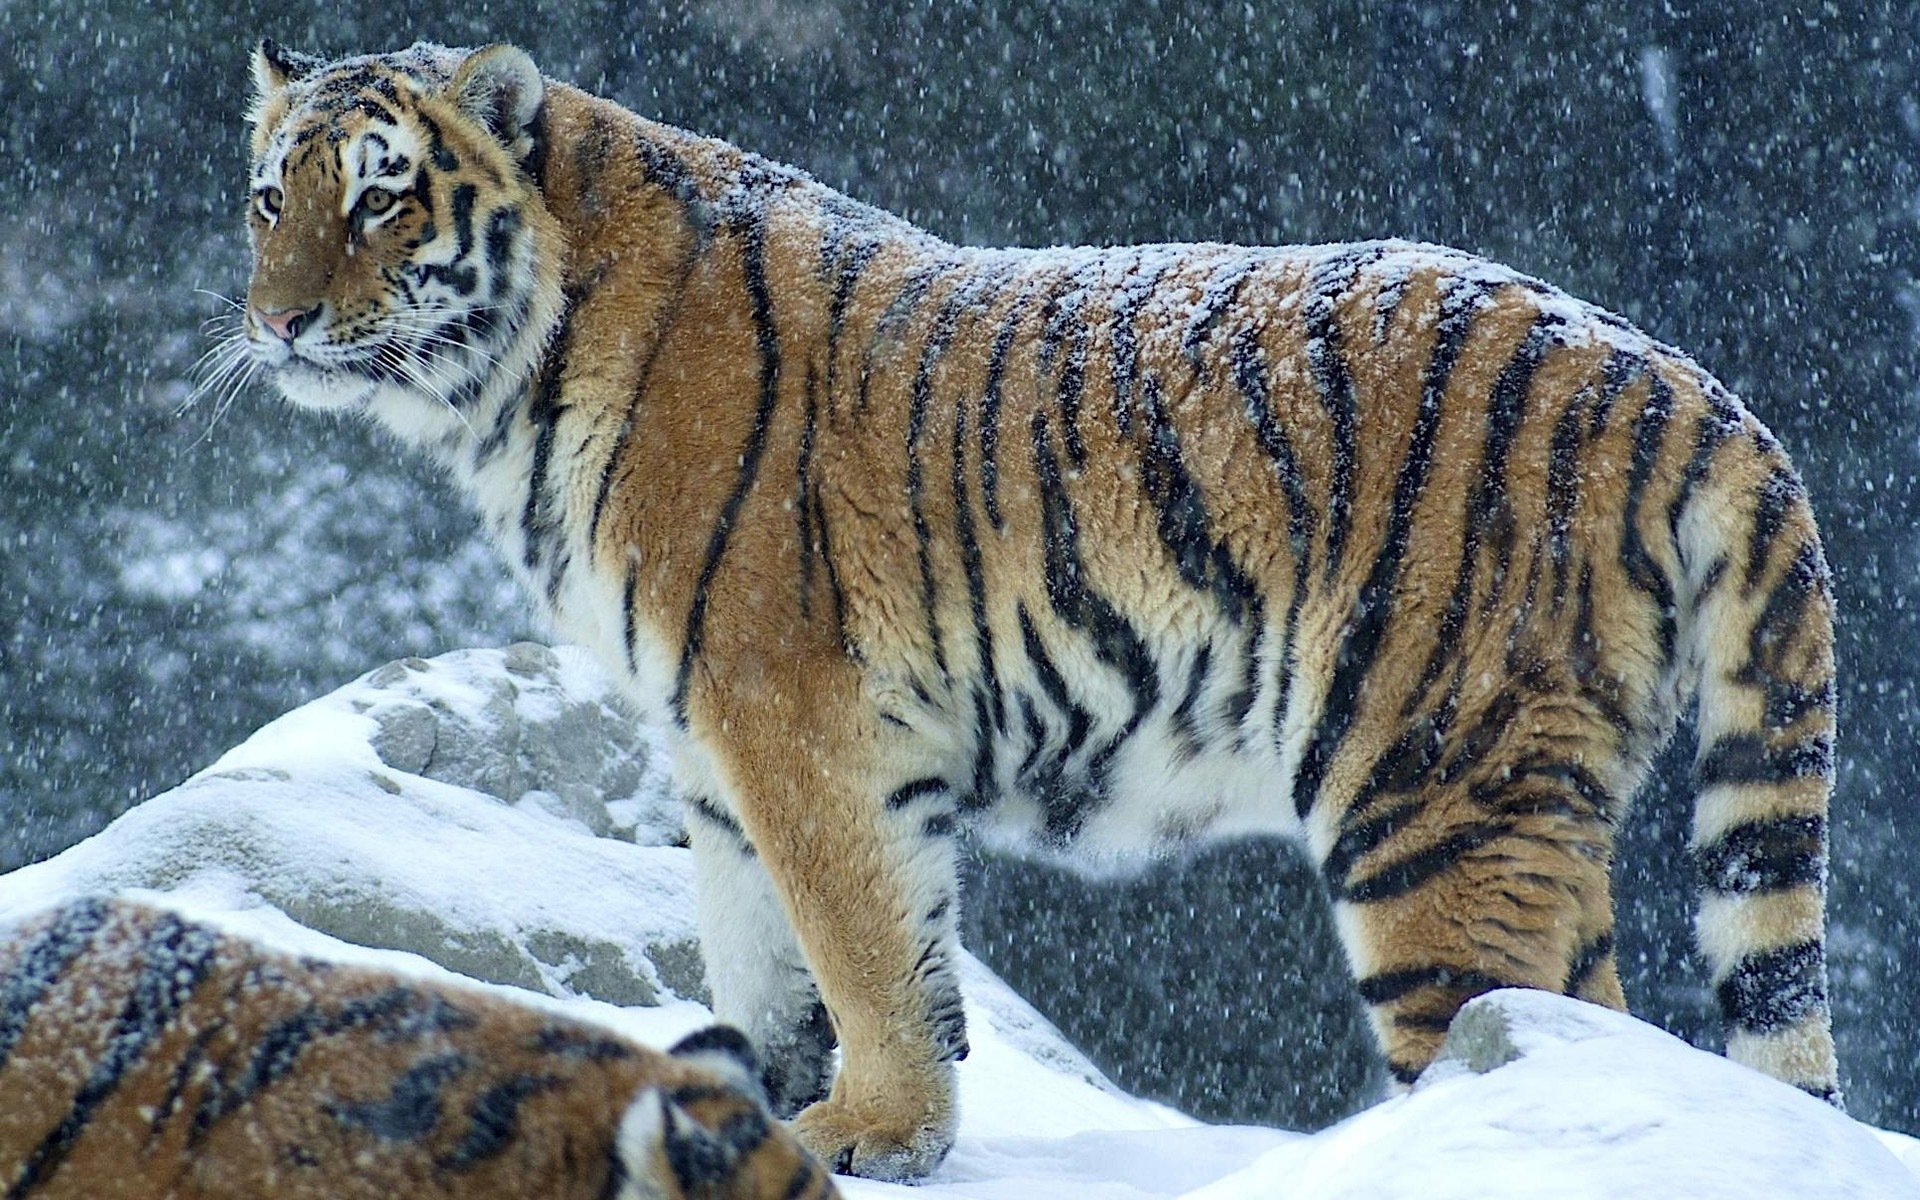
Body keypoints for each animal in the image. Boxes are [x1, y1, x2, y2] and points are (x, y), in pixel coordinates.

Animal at [231, 39, 1843, 1179]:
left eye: (380, 194)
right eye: (270, 197)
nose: (279, 320)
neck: (504, 390)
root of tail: (1680, 379)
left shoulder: (793, 717)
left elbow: (859, 943)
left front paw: (872, 1131)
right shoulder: (712, 749)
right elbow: (773, 948)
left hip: (1431, 790)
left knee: (1509, 1038)